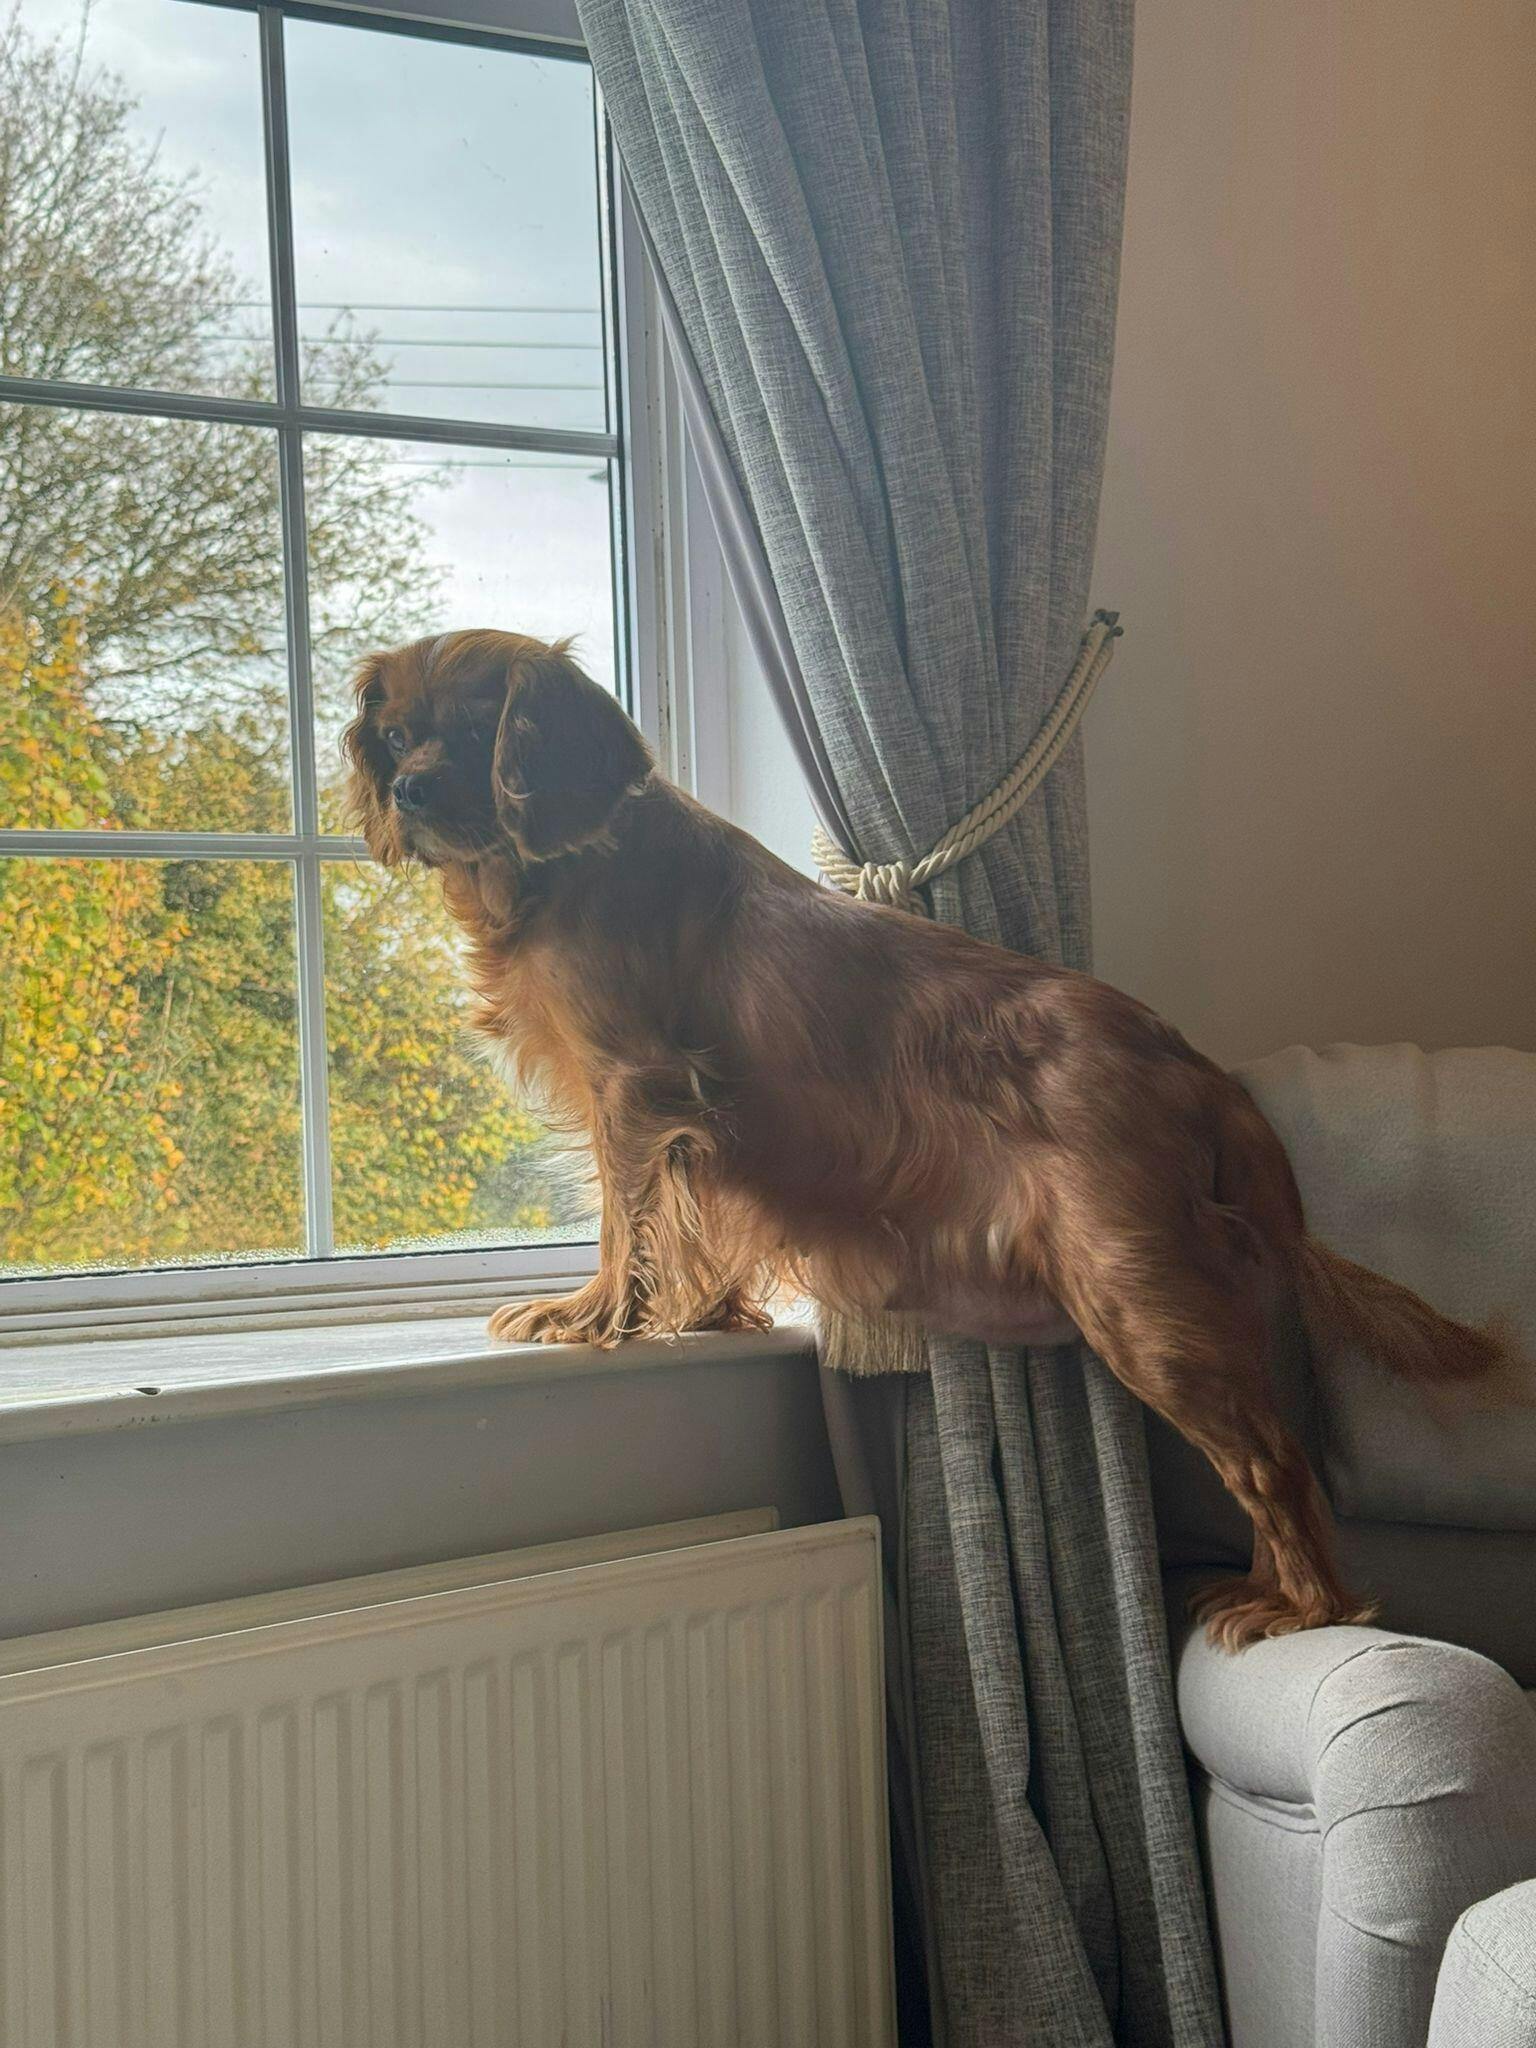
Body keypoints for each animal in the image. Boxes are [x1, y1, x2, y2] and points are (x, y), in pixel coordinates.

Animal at [343, 628, 1512, 1649]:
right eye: (398, 736)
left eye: (478, 725)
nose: (409, 791)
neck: (558, 865)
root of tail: (1195, 1065)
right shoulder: (698, 1117)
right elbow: (695, 1222)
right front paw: (705, 1309)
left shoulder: (632, 1083)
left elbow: (626, 1221)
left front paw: (589, 1315)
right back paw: (1271, 1588)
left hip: (1137, 1299)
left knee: (1271, 1463)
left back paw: (1307, 1607)